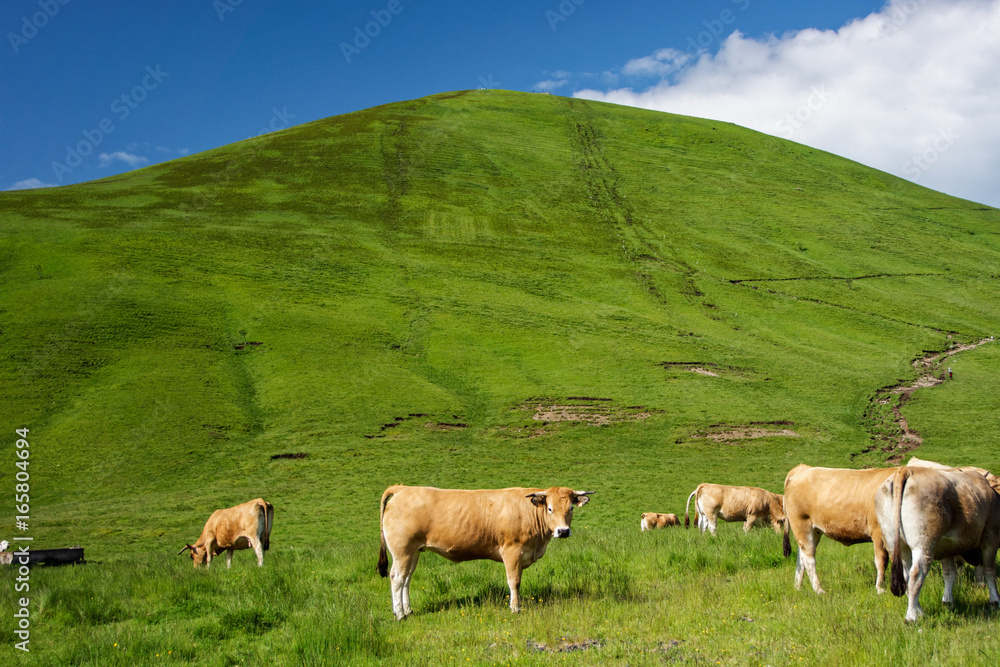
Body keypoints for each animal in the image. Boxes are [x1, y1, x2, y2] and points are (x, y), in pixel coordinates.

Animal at [376, 486, 592, 620]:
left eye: (571, 508)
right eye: (549, 508)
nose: (563, 531)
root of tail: (403, 488)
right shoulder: (512, 551)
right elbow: (514, 581)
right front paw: (515, 608)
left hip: (413, 552)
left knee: (406, 579)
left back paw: (408, 610)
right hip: (403, 551)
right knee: (397, 578)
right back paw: (400, 615)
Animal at [780, 464, 900, 596]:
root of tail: (804, 468)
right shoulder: (878, 531)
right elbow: (882, 559)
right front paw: (881, 589)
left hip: (814, 530)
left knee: (801, 556)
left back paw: (798, 587)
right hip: (802, 524)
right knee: (809, 556)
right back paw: (819, 590)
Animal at [876, 468, 1000, 624]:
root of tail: (906, 470)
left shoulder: (946, 548)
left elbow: (949, 574)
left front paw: (947, 601)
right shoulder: (991, 537)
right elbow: (990, 571)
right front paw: (994, 600)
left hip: (895, 544)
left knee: (907, 576)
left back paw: (919, 610)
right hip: (923, 545)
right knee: (916, 574)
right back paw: (912, 615)